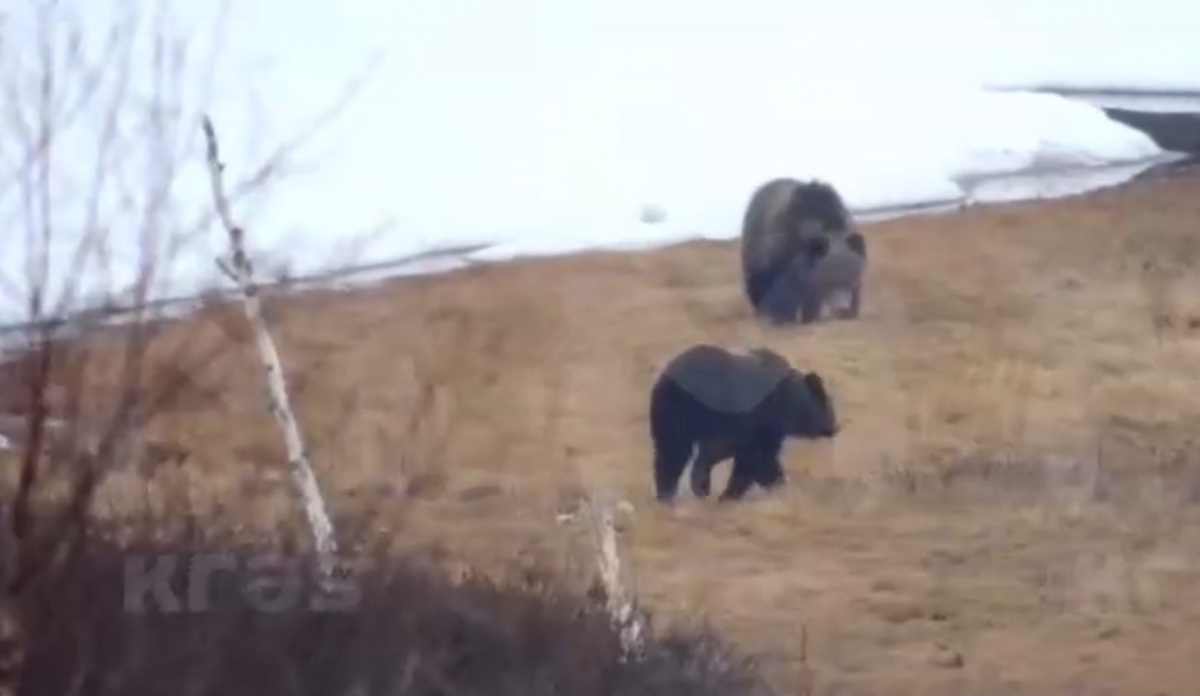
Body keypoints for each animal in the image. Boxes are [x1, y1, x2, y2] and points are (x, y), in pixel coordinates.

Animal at [652, 345, 840, 504]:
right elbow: (759, 458)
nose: (834, 428)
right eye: (828, 405)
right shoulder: (762, 421)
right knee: (684, 451)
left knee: (670, 452)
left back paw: (666, 494)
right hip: (699, 408)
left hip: (668, 412)